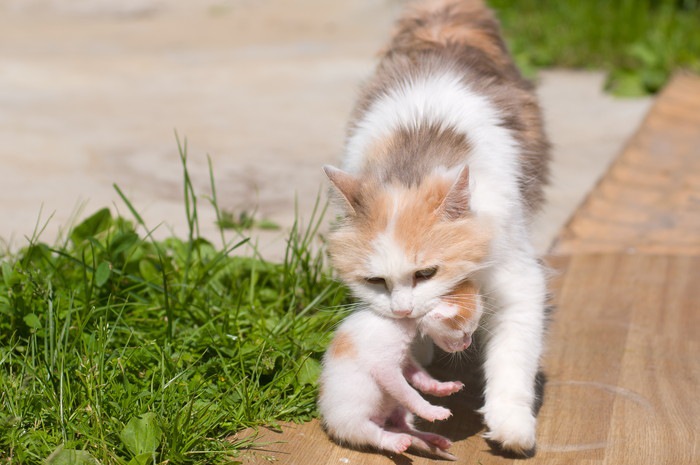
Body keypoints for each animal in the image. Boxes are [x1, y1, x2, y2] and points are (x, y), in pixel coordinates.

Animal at [326, 0, 548, 454]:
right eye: (375, 281)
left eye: (427, 272)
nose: (402, 310)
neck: (414, 163)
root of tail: (442, 15)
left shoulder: (519, 279)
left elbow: (512, 359)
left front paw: (512, 428)